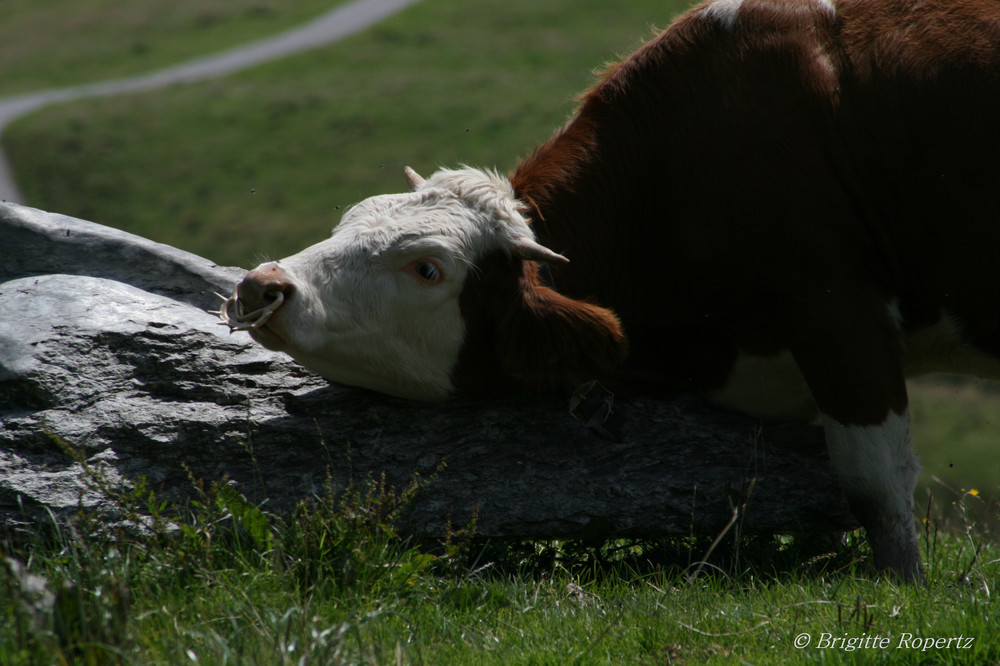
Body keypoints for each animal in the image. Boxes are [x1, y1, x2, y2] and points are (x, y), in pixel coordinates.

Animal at [223, 0, 1000, 580]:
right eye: (349, 219)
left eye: (427, 269)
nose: (263, 285)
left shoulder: (836, 313)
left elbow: (876, 487)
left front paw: (904, 589)